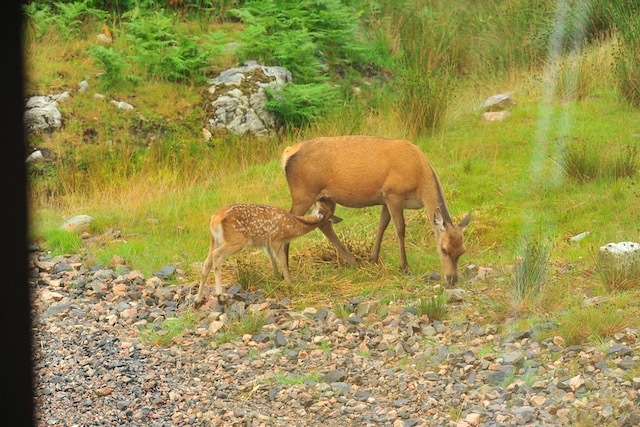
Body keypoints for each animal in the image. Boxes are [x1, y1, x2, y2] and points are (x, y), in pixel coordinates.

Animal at [194, 197, 342, 306]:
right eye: (322, 203)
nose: (321, 197)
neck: (292, 226)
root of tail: (215, 218)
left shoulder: (267, 244)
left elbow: (273, 261)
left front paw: (277, 278)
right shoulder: (276, 240)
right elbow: (282, 262)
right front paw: (290, 283)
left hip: (215, 240)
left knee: (207, 262)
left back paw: (197, 300)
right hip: (236, 240)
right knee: (216, 256)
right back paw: (219, 295)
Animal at [281, 135, 471, 285]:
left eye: (463, 250)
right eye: (444, 249)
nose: (452, 279)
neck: (420, 177)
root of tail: (287, 153)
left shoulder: (385, 198)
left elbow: (382, 225)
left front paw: (373, 258)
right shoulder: (393, 193)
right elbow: (400, 228)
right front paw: (405, 267)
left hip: (325, 197)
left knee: (324, 223)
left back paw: (352, 261)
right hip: (303, 193)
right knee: (291, 222)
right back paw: (285, 273)